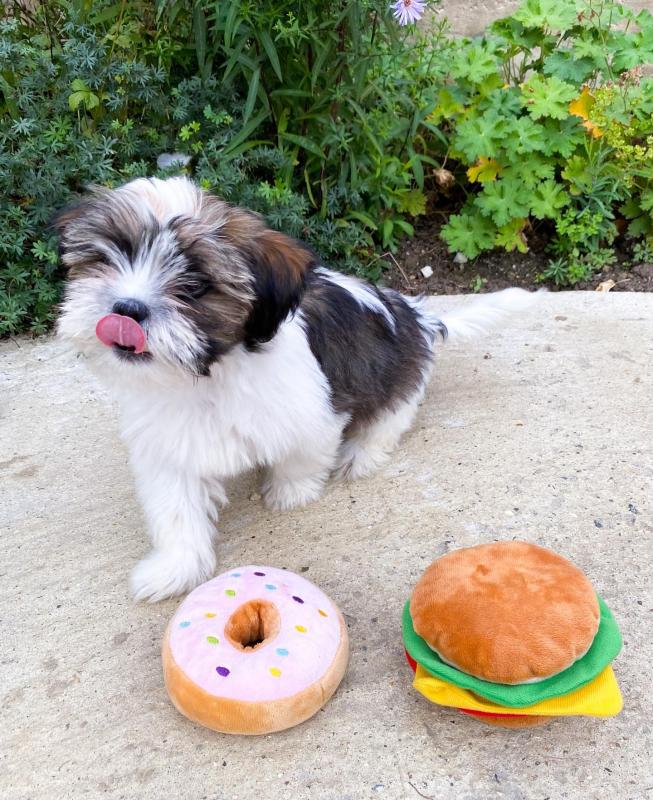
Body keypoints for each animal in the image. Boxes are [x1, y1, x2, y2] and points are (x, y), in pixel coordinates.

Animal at [54, 177, 536, 600]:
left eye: (193, 284)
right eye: (108, 256)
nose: (126, 308)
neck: (209, 374)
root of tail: (418, 316)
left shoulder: (313, 413)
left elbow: (301, 458)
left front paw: (290, 493)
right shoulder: (169, 442)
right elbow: (175, 508)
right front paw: (175, 568)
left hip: (395, 376)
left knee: (388, 418)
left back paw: (361, 454)